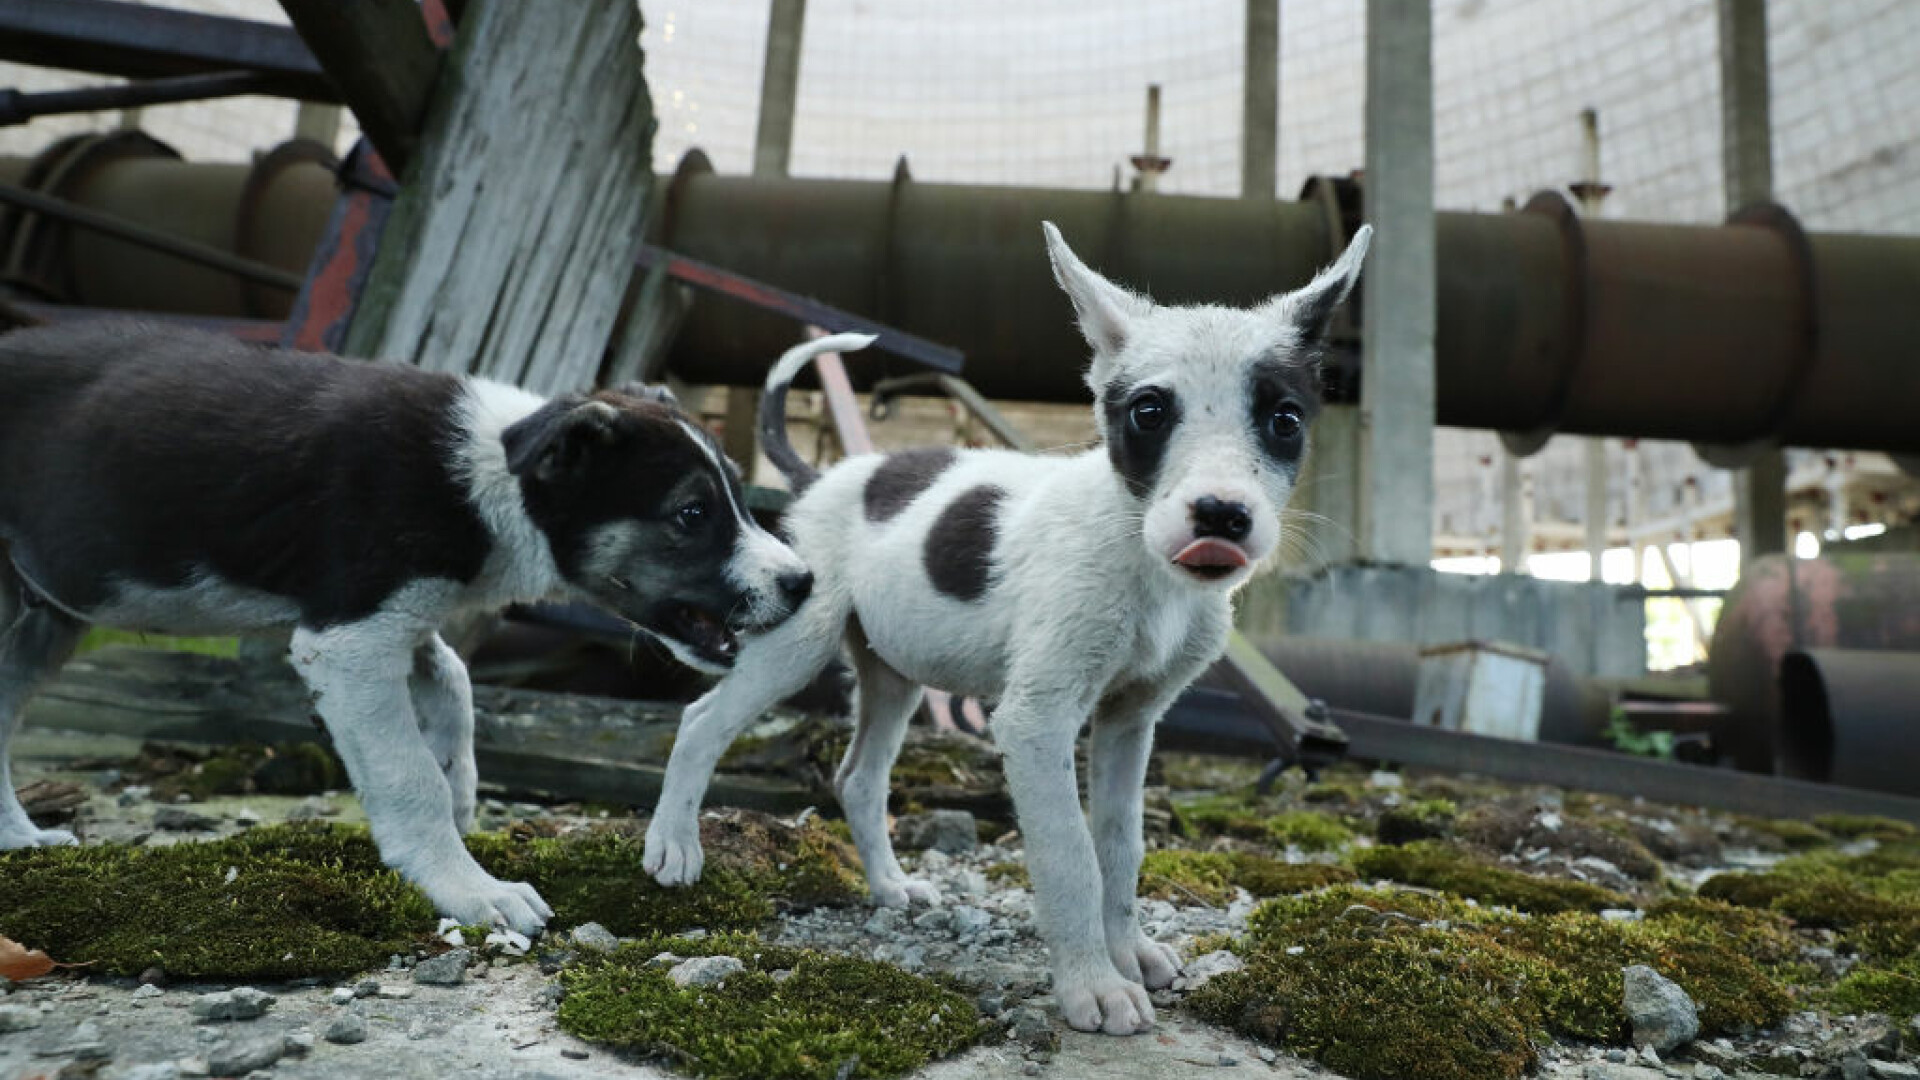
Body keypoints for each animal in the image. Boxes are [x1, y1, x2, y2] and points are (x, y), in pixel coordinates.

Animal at [0, 315, 810, 930]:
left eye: (738, 499)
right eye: (692, 514)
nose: (803, 583)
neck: (494, 478)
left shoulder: (399, 615)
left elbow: (452, 680)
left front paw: (462, 787)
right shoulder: (348, 638)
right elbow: (407, 774)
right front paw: (469, 888)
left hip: (40, 616)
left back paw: (20, 838)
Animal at [641, 222, 1367, 1030]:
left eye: (1285, 420)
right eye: (1149, 412)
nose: (1220, 516)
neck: (1142, 562)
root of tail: (823, 477)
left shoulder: (1131, 720)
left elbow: (1120, 847)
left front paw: (1128, 952)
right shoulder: (1036, 720)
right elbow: (1070, 856)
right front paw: (1094, 984)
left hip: (893, 671)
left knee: (859, 778)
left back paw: (890, 887)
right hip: (797, 641)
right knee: (703, 721)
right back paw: (673, 844)